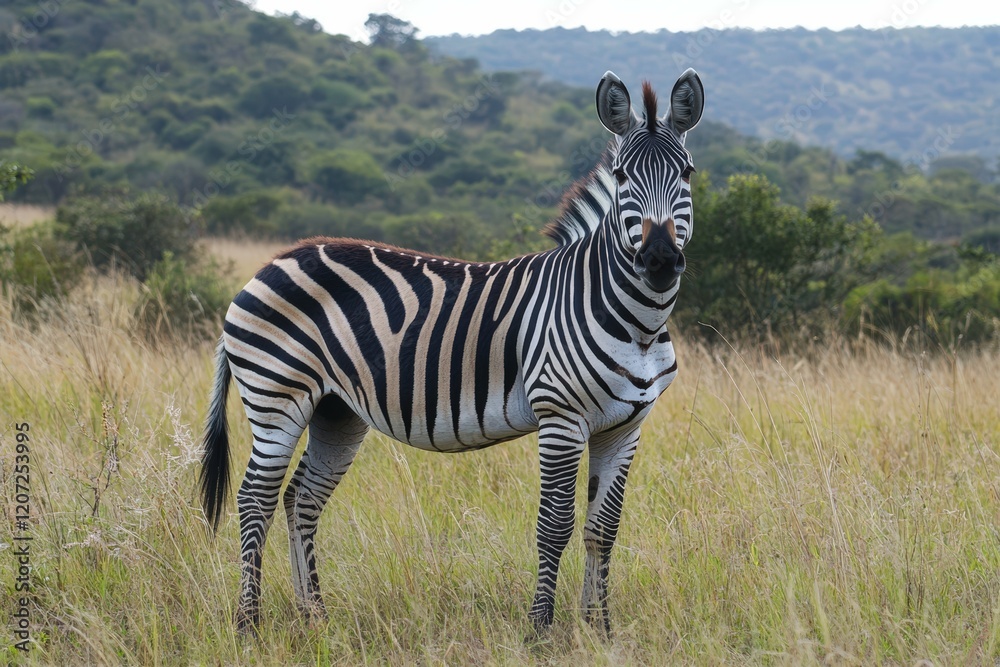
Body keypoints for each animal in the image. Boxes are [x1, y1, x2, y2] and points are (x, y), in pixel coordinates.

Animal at [200, 68, 704, 635]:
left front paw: (600, 630)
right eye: (621, 177)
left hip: (336, 410)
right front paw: (541, 630)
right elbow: (554, 524)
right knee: (255, 498)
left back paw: (316, 618)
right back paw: (249, 623)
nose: (659, 259)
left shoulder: (626, 424)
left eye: (686, 173)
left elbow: (604, 528)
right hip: (276, 393)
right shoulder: (561, 416)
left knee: (301, 498)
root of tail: (268, 264)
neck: (637, 323)